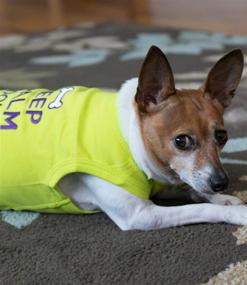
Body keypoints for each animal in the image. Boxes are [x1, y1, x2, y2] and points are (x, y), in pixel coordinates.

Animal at [0, 45, 247, 230]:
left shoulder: (162, 183)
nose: (221, 183)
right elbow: (201, 208)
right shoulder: (142, 214)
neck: (128, 134)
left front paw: (227, 199)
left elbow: (192, 189)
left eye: (222, 136)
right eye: (181, 141)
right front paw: (236, 212)